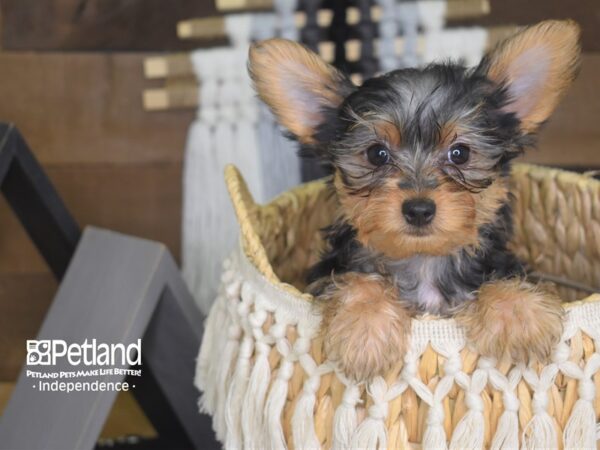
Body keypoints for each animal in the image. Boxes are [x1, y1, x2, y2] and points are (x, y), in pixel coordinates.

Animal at [246, 20, 580, 380]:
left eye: (460, 154)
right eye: (376, 154)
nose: (419, 210)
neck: (423, 262)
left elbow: (499, 276)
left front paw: (518, 314)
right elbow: (357, 280)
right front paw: (364, 329)